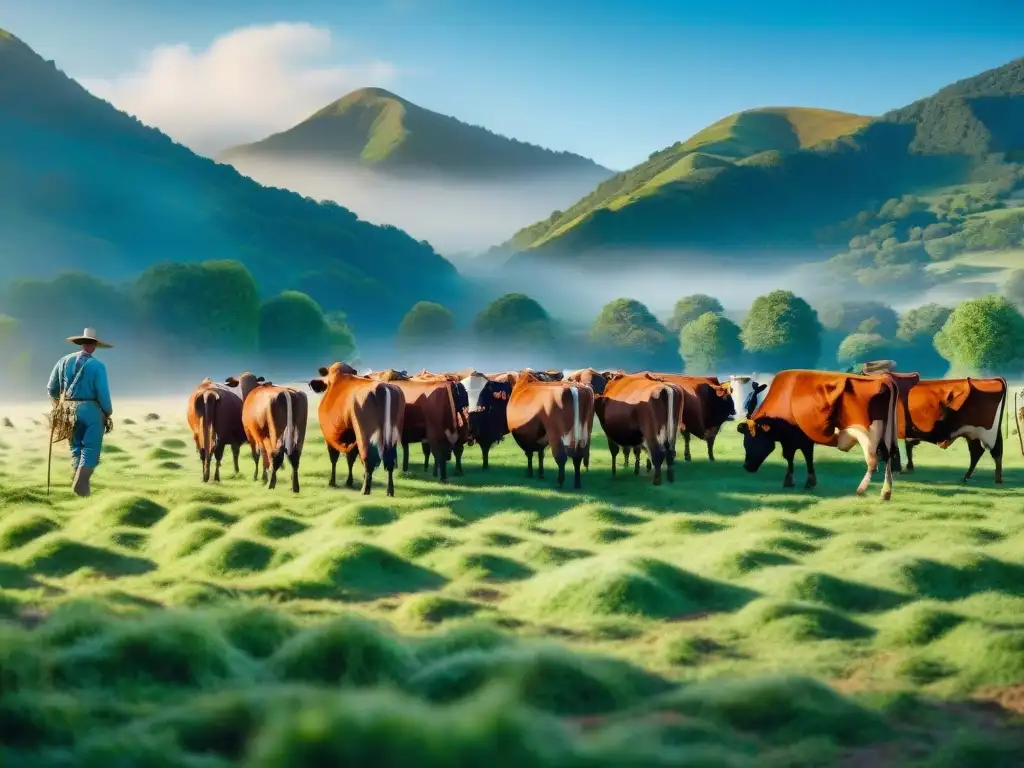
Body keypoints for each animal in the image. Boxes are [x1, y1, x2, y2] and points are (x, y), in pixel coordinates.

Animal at [305, 362, 405, 495]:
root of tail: (383, 387)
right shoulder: (351, 438)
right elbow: (350, 458)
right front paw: (349, 481)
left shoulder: (329, 437)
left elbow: (334, 458)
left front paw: (332, 482)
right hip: (392, 434)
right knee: (390, 460)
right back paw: (390, 491)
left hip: (364, 434)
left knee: (368, 459)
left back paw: (365, 489)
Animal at [737, 370, 897, 501]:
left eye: (750, 441)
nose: (746, 466)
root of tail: (883, 379)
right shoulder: (792, 439)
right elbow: (792, 458)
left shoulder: (799, 439)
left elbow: (802, 457)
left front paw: (806, 482)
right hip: (886, 434)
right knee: (887, 457)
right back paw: (885, 492)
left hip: (869, 435)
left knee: (873, 461)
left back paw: (861, 489)